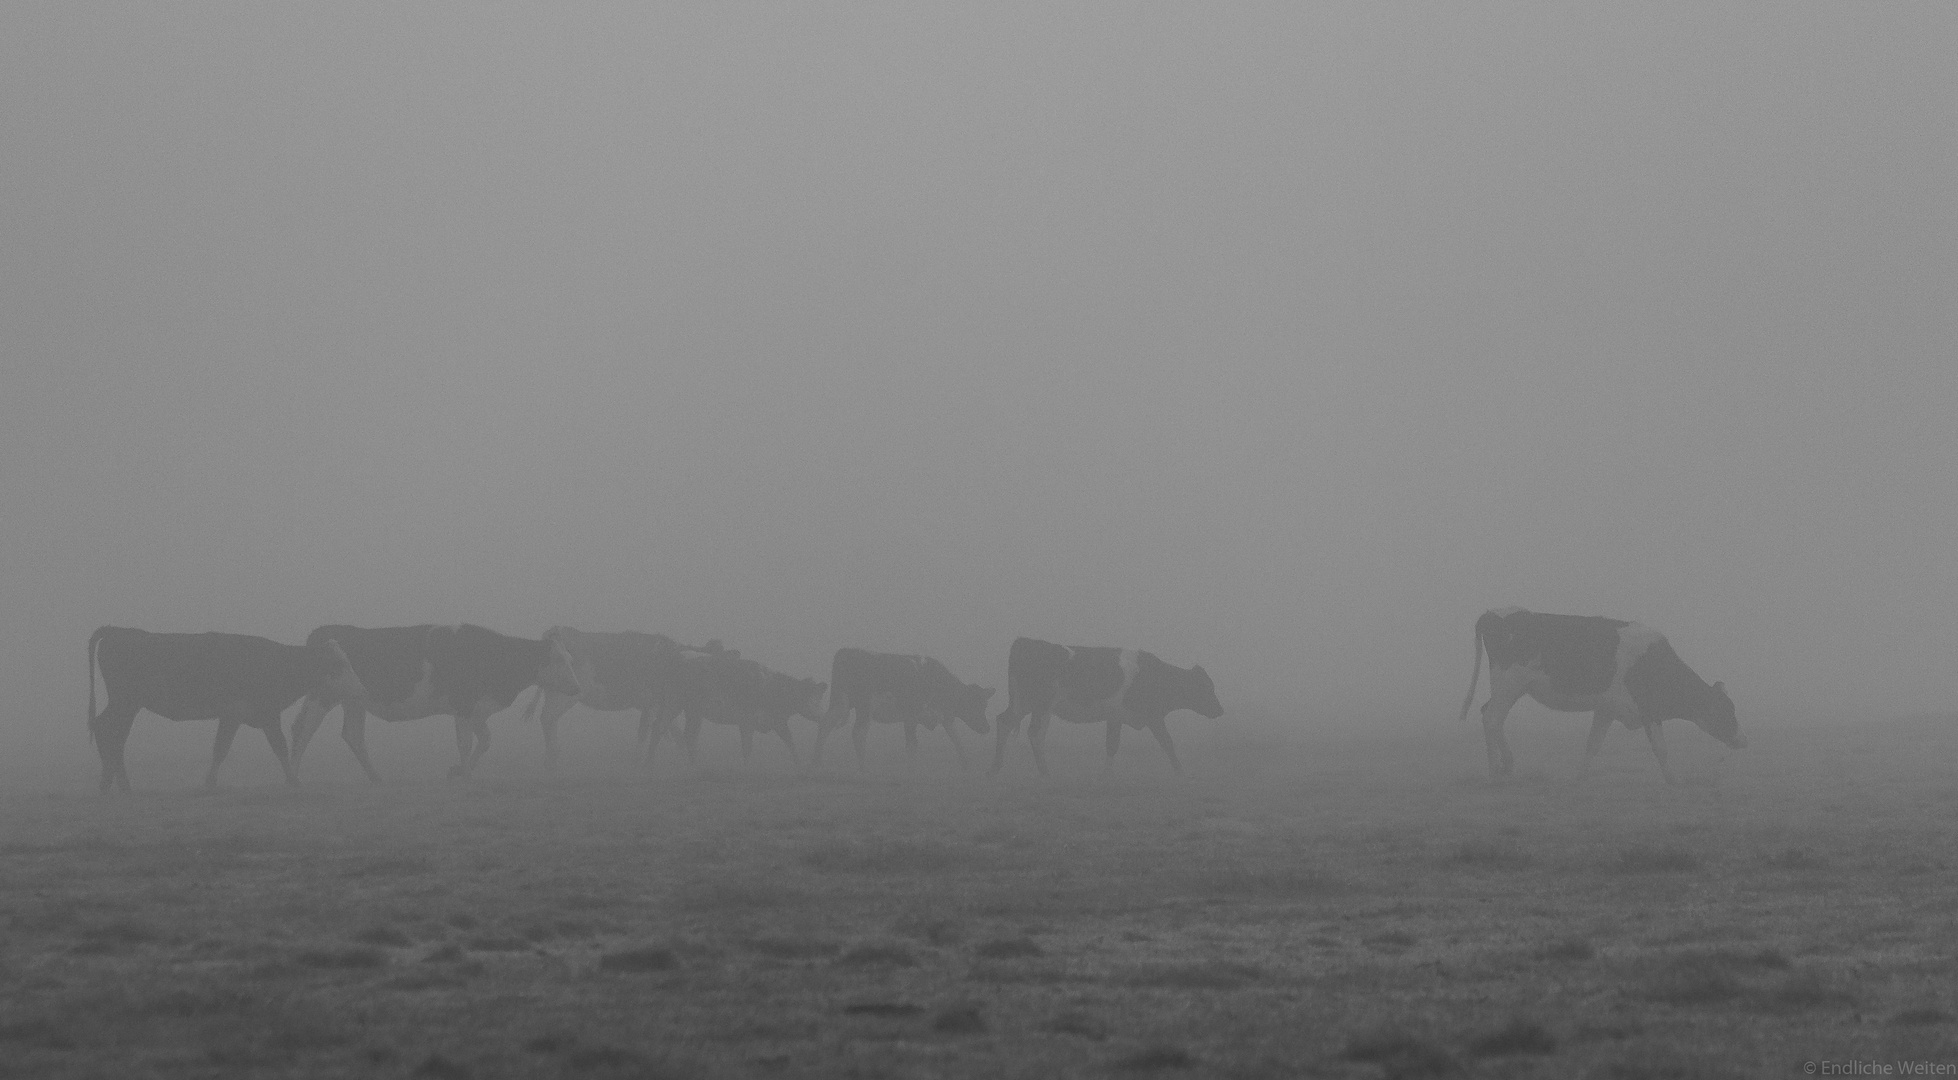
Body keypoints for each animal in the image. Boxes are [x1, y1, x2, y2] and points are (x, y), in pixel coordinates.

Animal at [85, 626, 364, 794]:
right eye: (339, 665)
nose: (360, 690)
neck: (277, 663)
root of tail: (121, 631)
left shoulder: (258, 715)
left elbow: (270, 747)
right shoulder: (241, 714)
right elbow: (228, 748)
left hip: (127, 705)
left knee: (111, 733)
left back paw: (113, 783)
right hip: (125, 702)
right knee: (108, 731)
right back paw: (115, 784)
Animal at [285, 626, 579, 786]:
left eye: (570, 659)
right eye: (558, 660)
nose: (577, 688)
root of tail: (321, 632)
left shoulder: (476, 709)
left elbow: (485, 740)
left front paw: (458, 771)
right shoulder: (463, 706)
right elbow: (466, 743)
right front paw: (464, 775)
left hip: (353, 700)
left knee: (352, 735)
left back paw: (375, 777)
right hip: (323, 695)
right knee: (304, 728)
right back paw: (294, 778)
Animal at [814, 649, 994, 766]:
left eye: (985, 705)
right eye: (977, 704)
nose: (987, 728)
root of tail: (847, 651)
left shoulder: (943, 716)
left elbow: (955, 737)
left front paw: (965, 761)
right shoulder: (912, 715)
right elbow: (912, 744)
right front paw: (911, 769)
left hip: (840, 702)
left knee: (825, 725)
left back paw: (818, 761)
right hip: (865, 706)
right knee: (858, 732)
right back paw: (863, 766)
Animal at [994, 633, 1221, 774]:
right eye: (1207, 688)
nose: (1220, 709)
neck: (1156, 676)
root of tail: (1026, 642)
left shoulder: (1115, 717)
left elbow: (1112, 745)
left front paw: (1107, 774)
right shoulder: (1153, 716)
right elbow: (1167, 741)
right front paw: (1180, 771)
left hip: (1023, 704)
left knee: (1004, 721)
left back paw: (995, 768)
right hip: (1041, 705)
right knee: (1035, 733)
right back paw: (1044, 772)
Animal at [1456, 606, 1746, 786]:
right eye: (1727, 711)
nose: (1743, 741)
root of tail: (1494, 613)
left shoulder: (1607, 709)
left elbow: (1593, 744)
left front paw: (1579, 778)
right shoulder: (1648, 710)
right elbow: (1661, 749)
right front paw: (1674, 780)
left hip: (1511, 688)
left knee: (1488, 713)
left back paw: (1502, 765)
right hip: (1509, 683)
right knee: (1492, 718)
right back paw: (1497, 770)